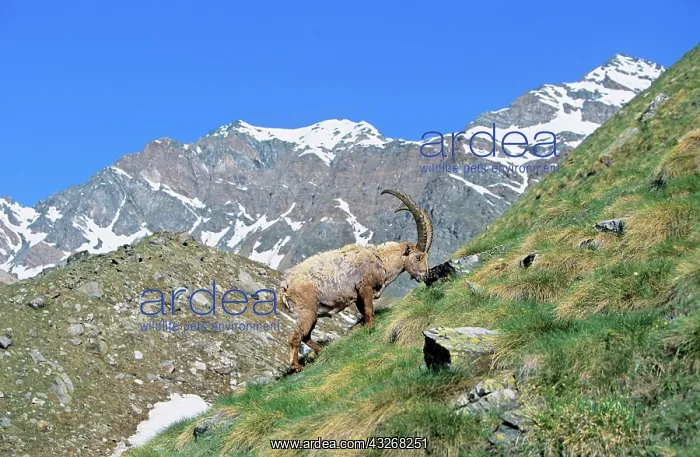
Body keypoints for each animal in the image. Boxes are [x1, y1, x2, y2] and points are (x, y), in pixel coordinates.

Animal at [280, 189, 434, 372]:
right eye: (418, 257)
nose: (425, 275)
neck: (381, 260)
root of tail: (285, 284)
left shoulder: (358, 296)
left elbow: (365, 311)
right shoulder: (364, 287)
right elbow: (368, 310)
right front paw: (370, 328)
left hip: (312, 313)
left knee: (306, 336)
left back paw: (323, 351)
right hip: (307, 311)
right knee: (295, 337)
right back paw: (297, 366)